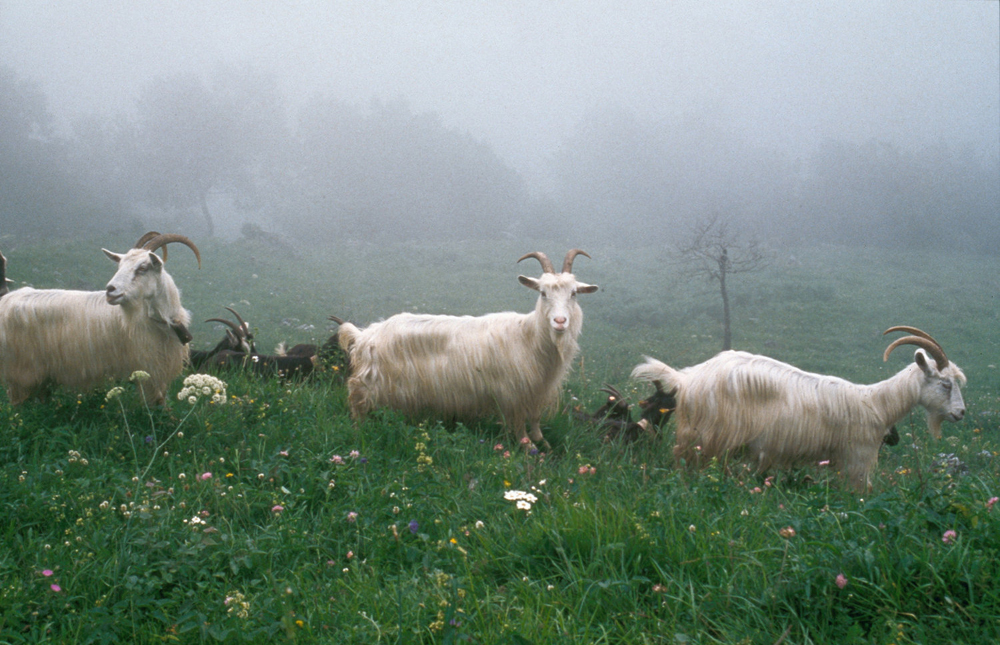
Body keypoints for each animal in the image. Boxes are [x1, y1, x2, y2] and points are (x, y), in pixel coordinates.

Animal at [0, 231, 201, 402]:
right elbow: (156, 401)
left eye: (143, 268)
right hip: (22, 370)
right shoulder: (148, 367)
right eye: (119, 266)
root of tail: (6, 300)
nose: (110, 290)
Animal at [340, 249, 596, 450]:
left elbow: (534, 417)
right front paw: (528, 446)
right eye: (543, 293)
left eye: (573, 293)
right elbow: (518, 421)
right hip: (371, 379)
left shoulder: (536, 389)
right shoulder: (512, 392)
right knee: (356, 395)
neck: (528, 336)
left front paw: (542, 442)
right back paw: (358, 428)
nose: (560, 321)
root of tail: (366, 334)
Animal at [632, 328, 968, 488]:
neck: (876, 404)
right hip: (704, 436)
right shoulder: (857, 460)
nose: (961, 413)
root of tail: (687, 379)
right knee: (682, 462)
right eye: (945, 384)